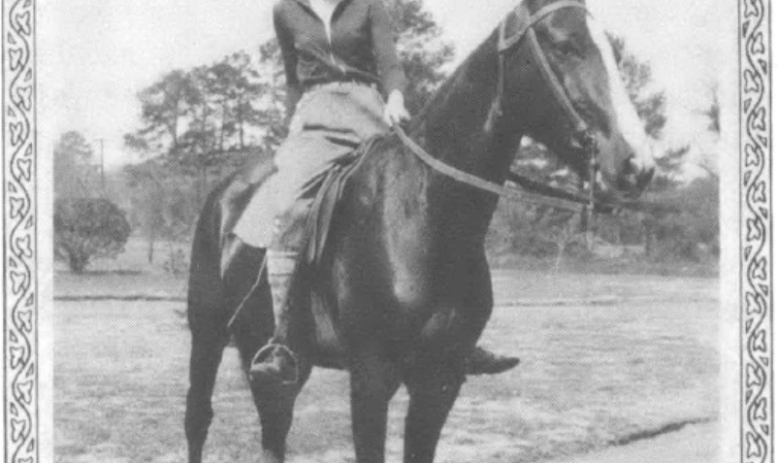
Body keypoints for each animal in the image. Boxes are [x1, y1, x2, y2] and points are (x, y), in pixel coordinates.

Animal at [185, 1, 652, 462]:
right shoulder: (370, 379)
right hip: (207, 333)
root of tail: (224, 193)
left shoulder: (439, 381)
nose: (637, 164)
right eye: (565, 46)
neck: (423, 212)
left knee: (274, 429)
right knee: (198, 419)